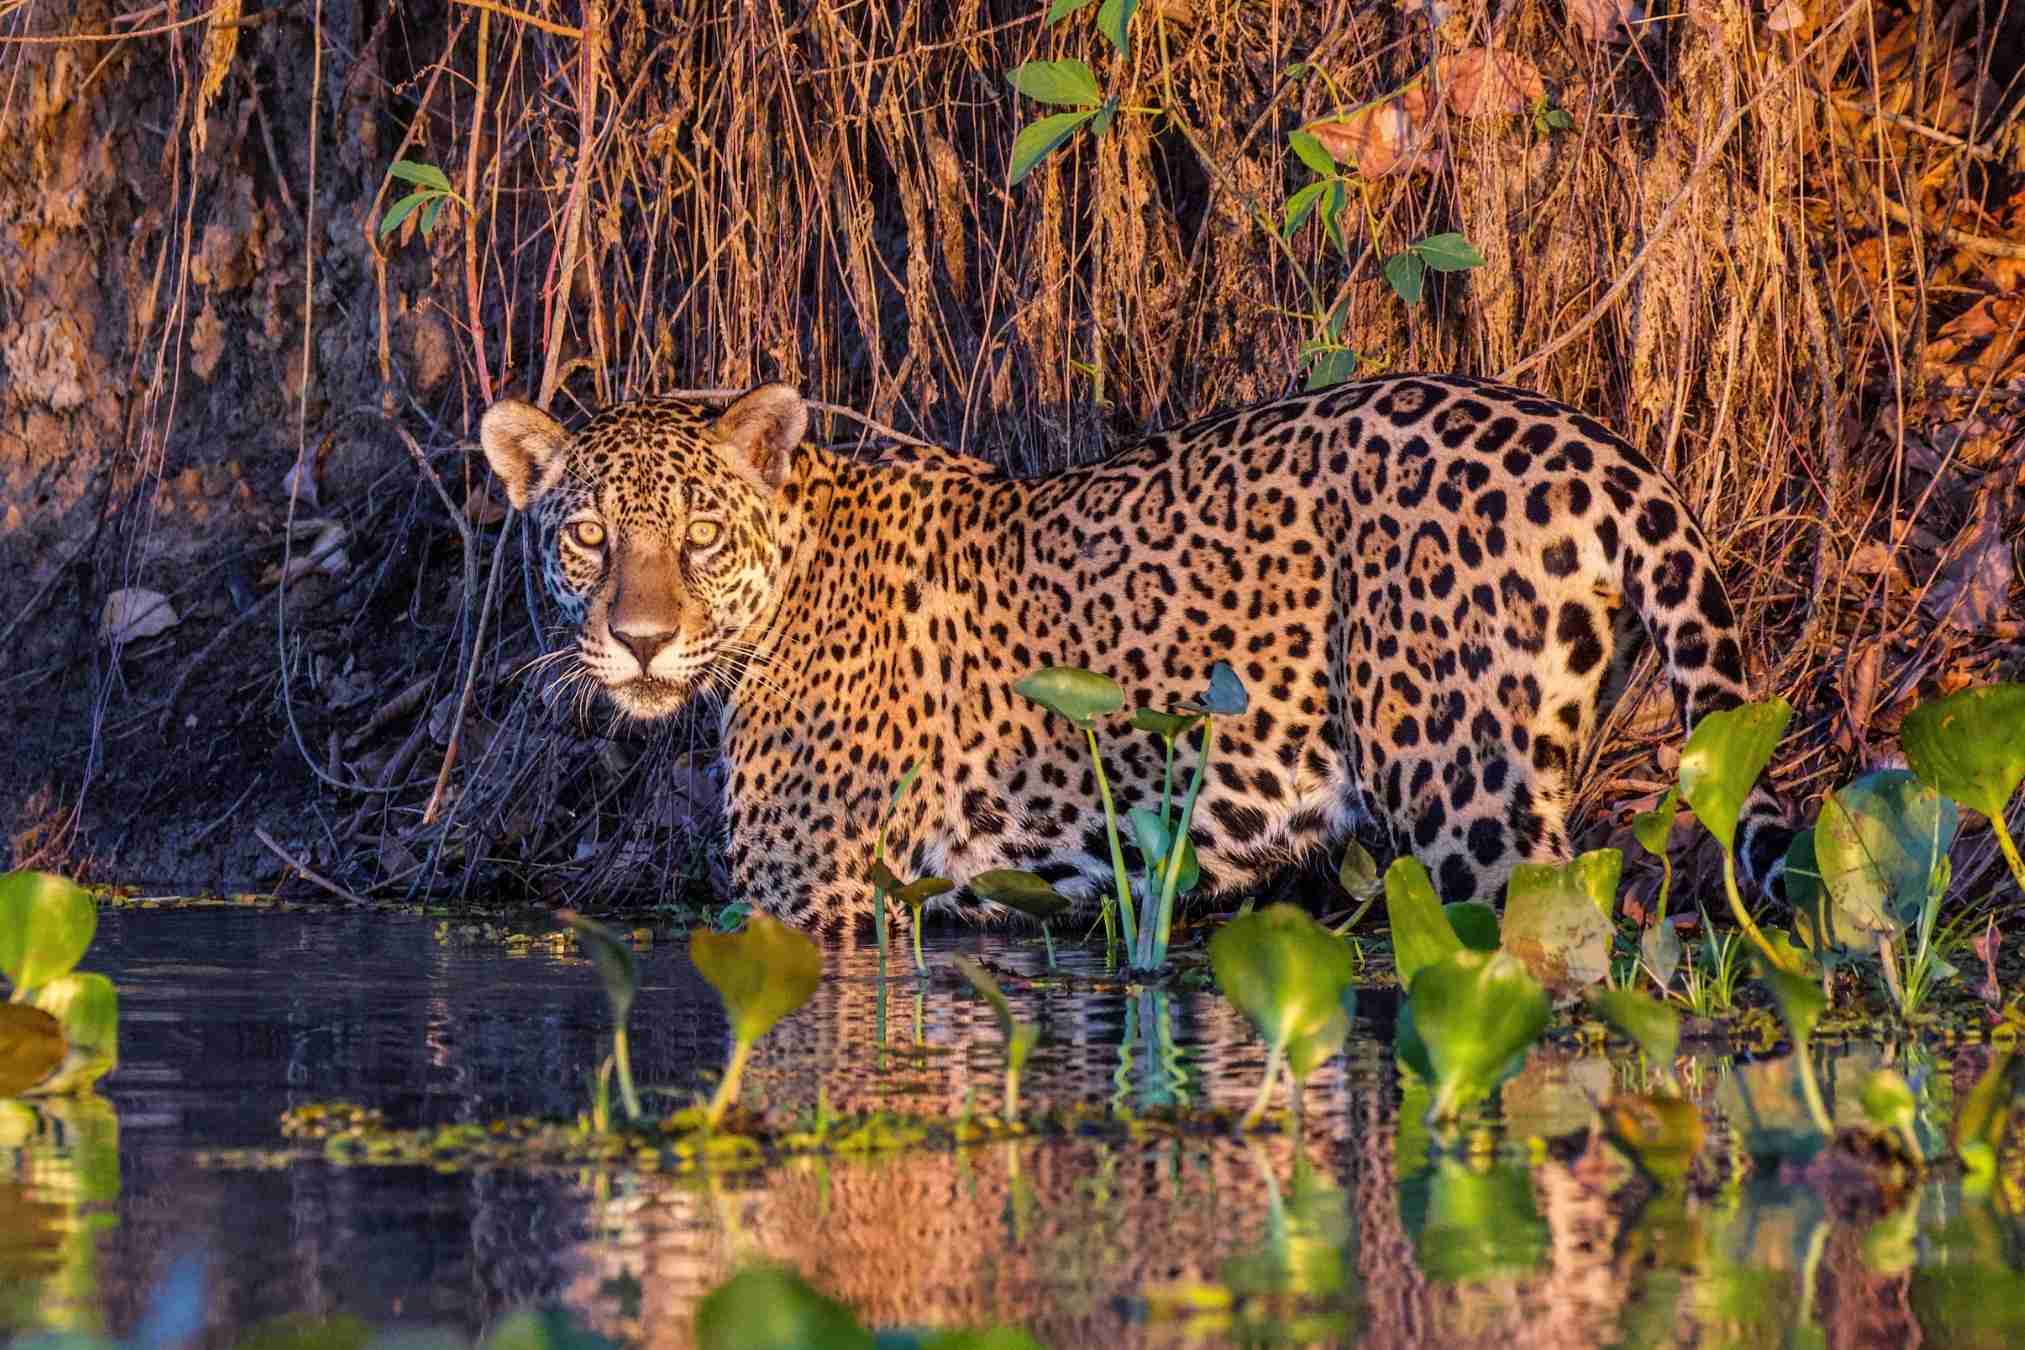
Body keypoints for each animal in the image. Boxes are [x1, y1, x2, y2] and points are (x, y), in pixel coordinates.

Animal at [479, 374, 1793, 928]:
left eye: (699, 537)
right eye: (591, 537)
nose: (641, 642)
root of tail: (1586, 442)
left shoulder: (813, 898)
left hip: (1464, 802)